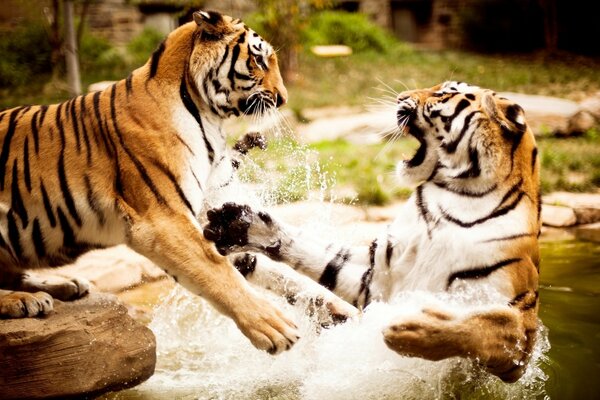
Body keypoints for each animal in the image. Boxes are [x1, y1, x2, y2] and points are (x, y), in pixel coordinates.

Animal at [0, 8, 300, 354]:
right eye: (259, 60)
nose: (283, 99)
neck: (207, 114)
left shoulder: (205, 214)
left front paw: (329, 308)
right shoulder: (163, 219)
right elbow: (216, 270)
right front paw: (275, 327)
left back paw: (66, 285)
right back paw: (23, 300)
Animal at [204, 80, 540, 382]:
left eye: (444, 93)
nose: (401, 97)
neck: (452, 199)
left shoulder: (520, 335)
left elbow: (483, 325)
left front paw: (408, 329)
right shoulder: (377, 275)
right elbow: (319, 255)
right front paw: (240, 225)